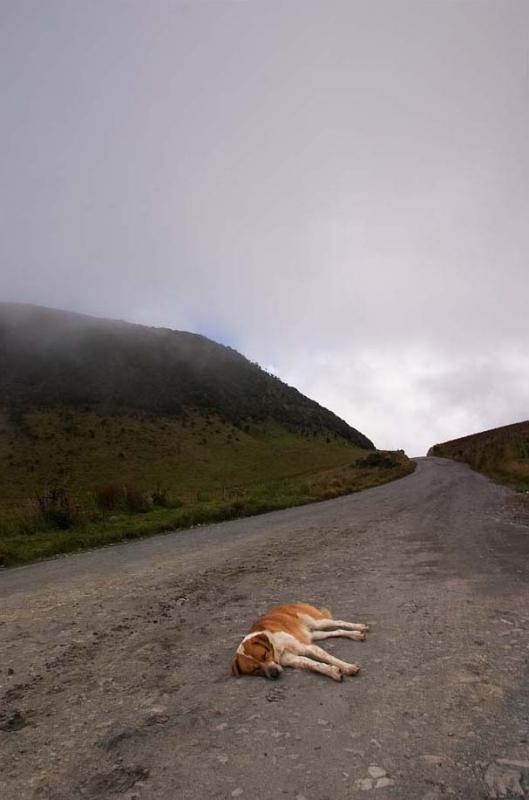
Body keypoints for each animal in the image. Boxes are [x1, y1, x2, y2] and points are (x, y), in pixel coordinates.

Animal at [231, 600, 368, 680]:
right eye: (255, 670)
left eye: (264, 655)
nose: (274, 674)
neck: (274, 645)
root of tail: (288, 603)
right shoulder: (293, 659)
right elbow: (312, 664)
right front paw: (332, 671)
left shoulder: (307, 647)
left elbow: (330, 658)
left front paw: (347, 667)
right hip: (313, 634)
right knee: (336, 632)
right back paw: (355, 634)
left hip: (317, 622)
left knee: (338, 622)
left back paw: (360, 627)